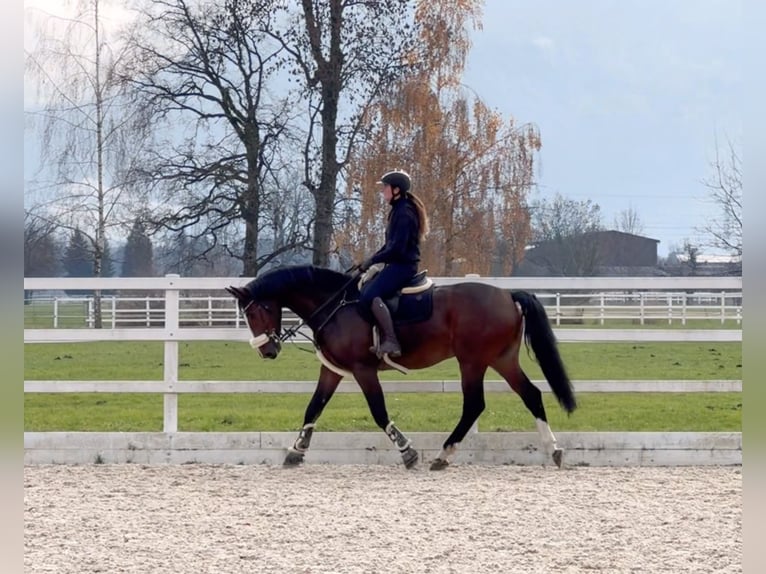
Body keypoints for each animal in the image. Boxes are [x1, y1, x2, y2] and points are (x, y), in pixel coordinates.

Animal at [226, 264, 576, 470]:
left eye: (255, 312)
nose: (267, 351)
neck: (336, 305)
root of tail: (507, 294)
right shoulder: (333, 370)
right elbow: (313, 407)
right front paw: (296, 450)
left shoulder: (363, 370)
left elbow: (379, 412)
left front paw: (407, 451)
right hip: (501, 359)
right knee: (531, 395)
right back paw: (553, 450)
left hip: (472, 361)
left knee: (475, 405)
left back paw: (443, 454)